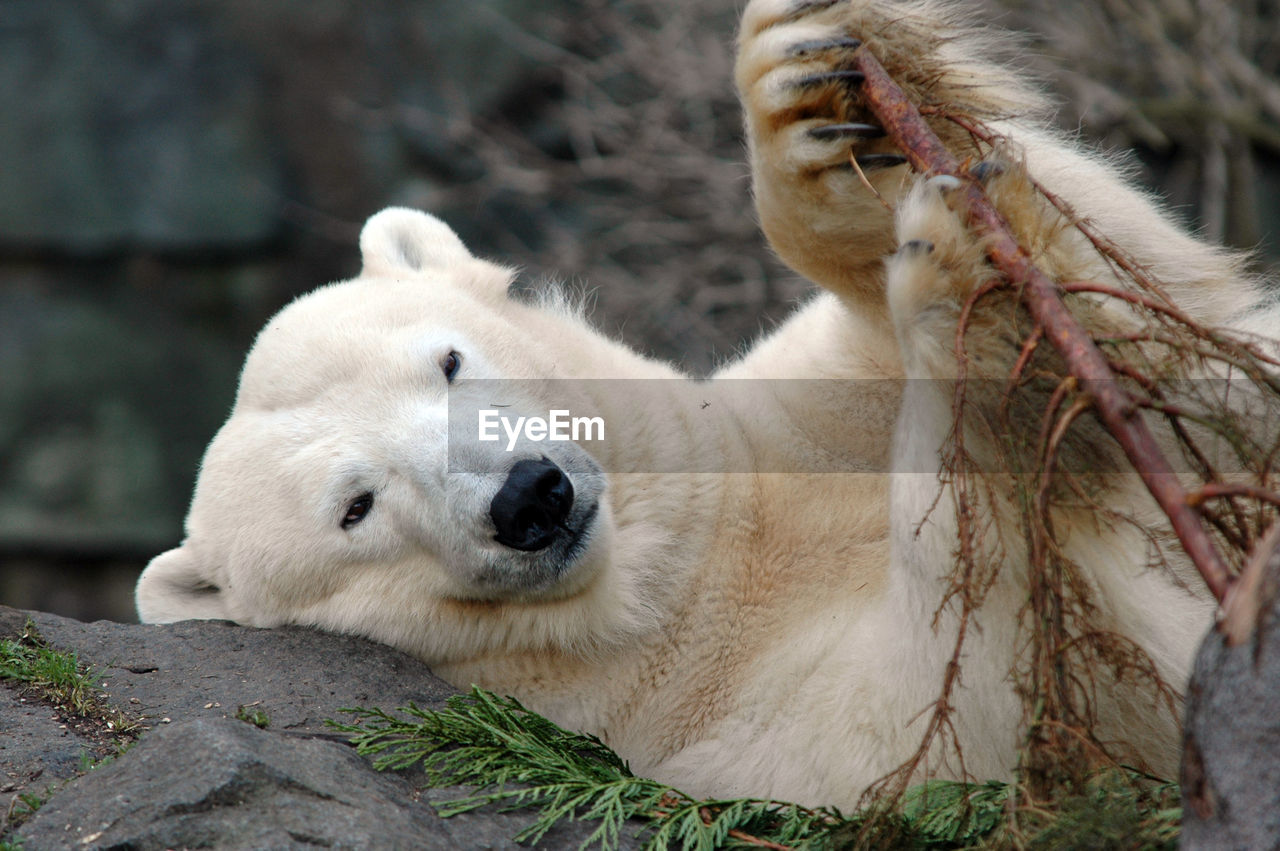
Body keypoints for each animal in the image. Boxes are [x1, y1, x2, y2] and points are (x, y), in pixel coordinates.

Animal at [135, 0, 1274, 808]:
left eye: (449, 362)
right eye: (355, 508)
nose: (527, 494)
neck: (680, 581)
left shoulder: (777, 435)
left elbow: (1140, 279)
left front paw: (804, 100)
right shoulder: (715, 737)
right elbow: (985, 696)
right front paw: (955, 293)